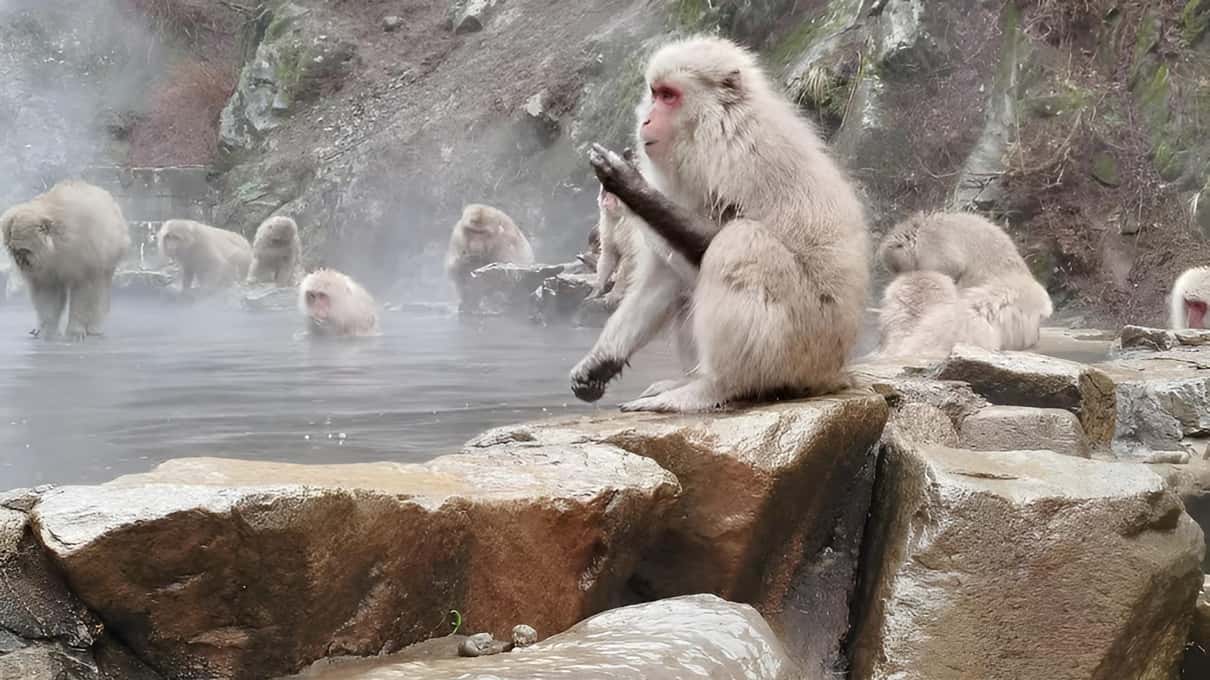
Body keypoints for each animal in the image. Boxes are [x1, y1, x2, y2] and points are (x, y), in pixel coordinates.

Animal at [1, 180, 131, 340]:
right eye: (13, 250)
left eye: (24, 250)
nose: (20, 262)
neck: (57, 246)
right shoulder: (47, 267)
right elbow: (48, 291)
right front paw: (48, 331)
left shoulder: (82, 253)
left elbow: (85, 290)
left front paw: (75, 331)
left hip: (110, 250)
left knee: (100, 288)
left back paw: (95, 328)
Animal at [571, 35, 871, 413]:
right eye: (655, 93)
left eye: (669, 96)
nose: (647, 120)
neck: (710, 127)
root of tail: (835, 371)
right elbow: (664, 276)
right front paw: (601, 361)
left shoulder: (740, 159)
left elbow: (714, 239)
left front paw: (631, 187)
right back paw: (688, 380)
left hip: (803, 345)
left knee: (738, 243)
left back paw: (714, 386)